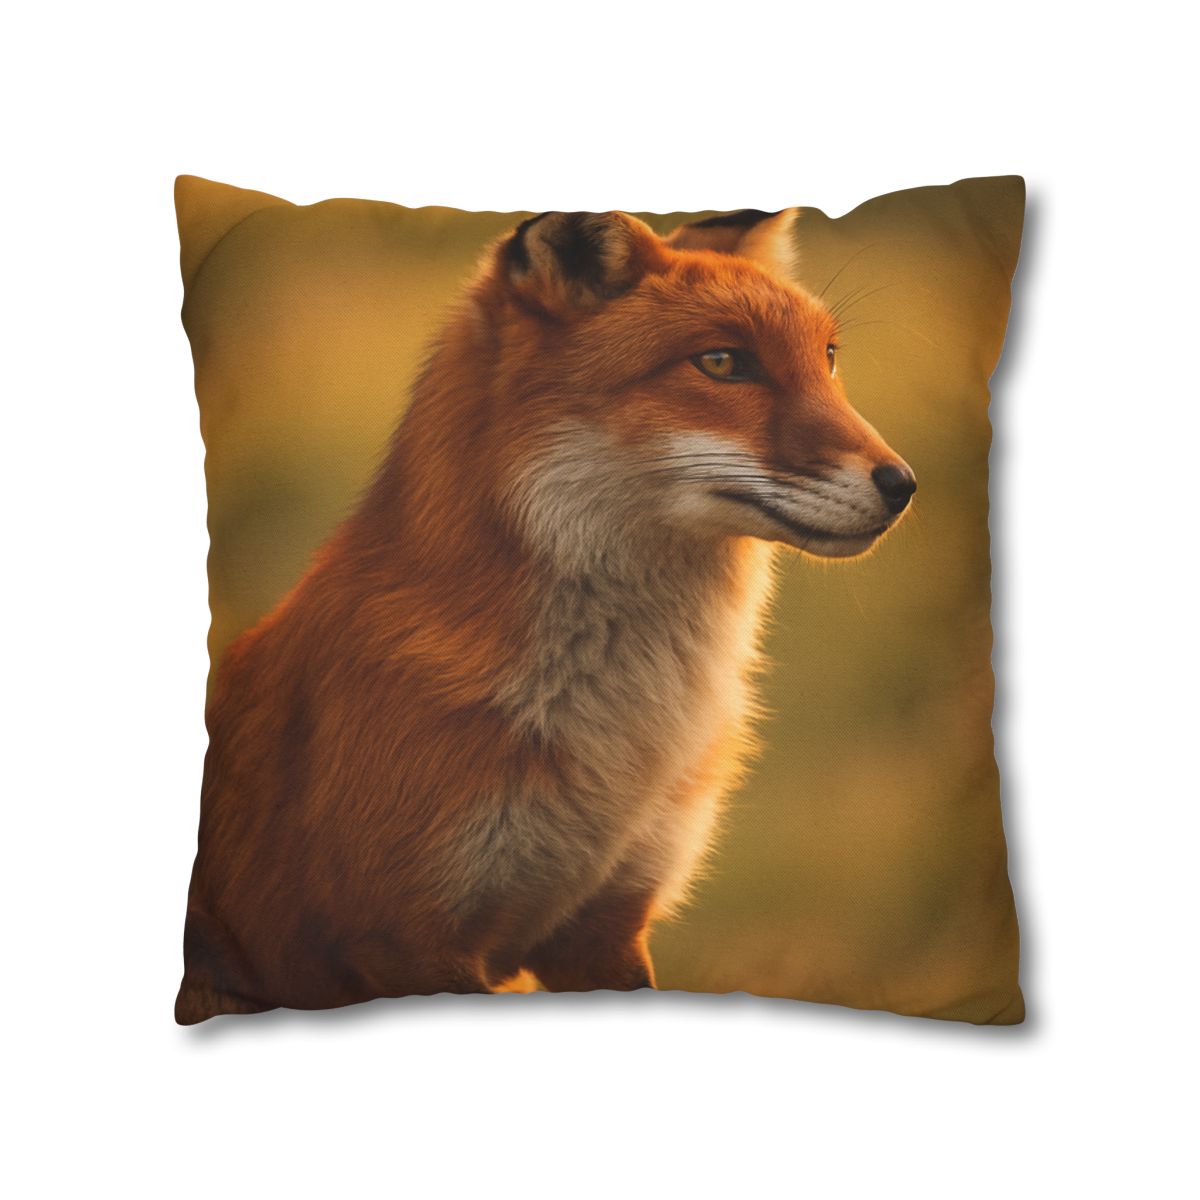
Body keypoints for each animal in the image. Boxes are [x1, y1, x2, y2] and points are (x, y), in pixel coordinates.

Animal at [176, 207, 916, 1023]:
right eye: (723, 363)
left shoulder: (606, 929)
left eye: (829, 359)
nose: (904, 484)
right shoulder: (405, 938)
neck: (625, 736)